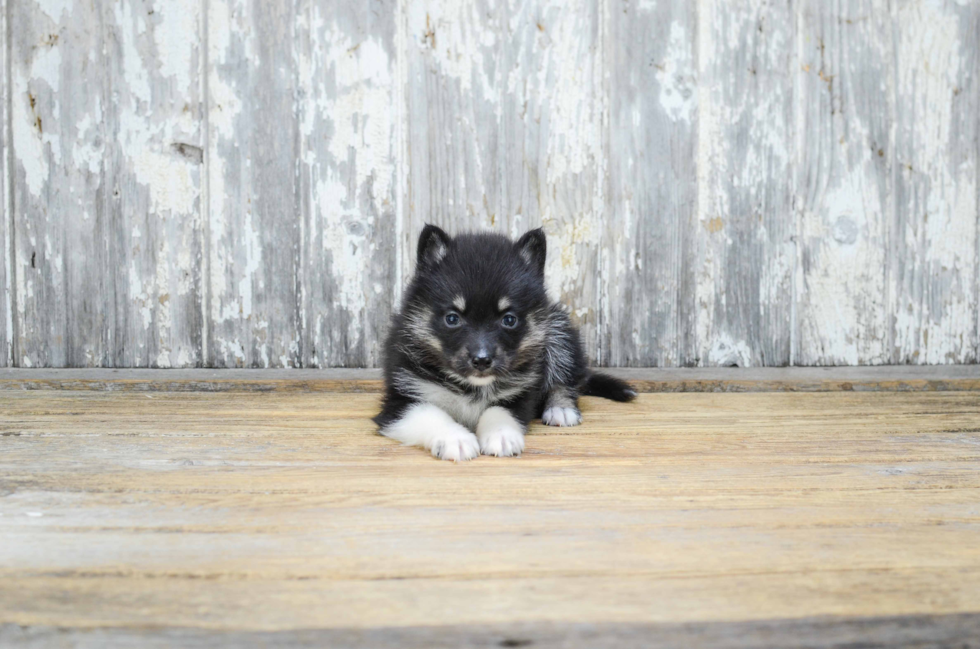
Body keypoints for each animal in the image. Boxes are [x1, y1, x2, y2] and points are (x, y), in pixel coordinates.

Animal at [374, 225, 636, 458]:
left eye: (509, 319)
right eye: (452, 318)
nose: (481, 360)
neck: (471, 387)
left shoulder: (520, 395)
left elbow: (499, 410)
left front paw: (501, 436)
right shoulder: (401, 401)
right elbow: (431, 414)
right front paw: (455, 439)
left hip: (557, 329)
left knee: (566, 377)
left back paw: (560, 408)